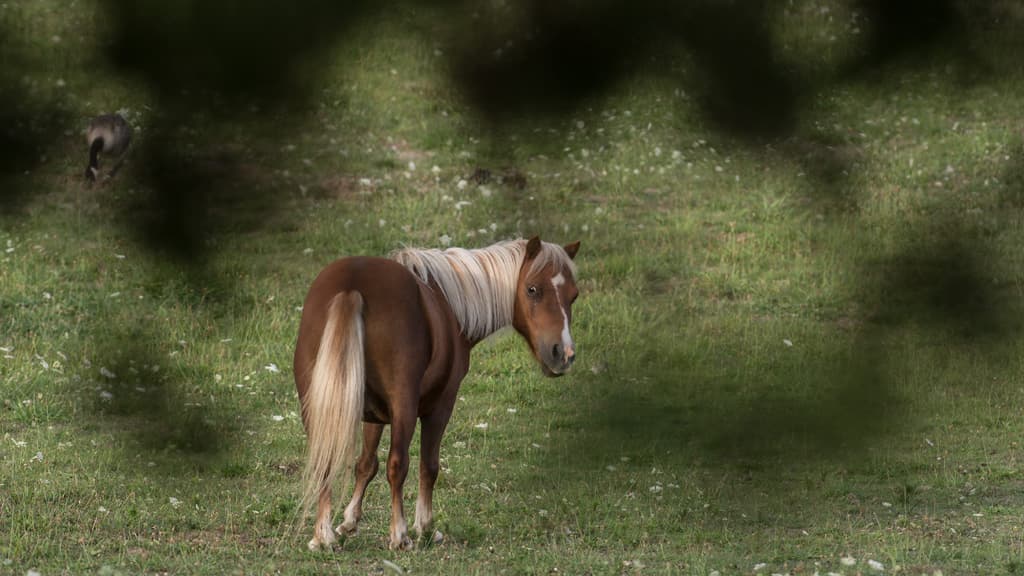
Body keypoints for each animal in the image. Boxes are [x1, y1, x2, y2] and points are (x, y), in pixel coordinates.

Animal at [294, 235, 585, 549]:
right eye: (532, 289)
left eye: (573, 295)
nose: (563, 354)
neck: (449, 304)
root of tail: (353, 286)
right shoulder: (441, 406)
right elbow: (428, 465)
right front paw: (424, 525)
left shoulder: (374, 414)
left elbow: (366, 464)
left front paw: (349, 521)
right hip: (405, 408)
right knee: (398, 464)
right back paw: (399, 535)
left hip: (318, 406)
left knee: (325, 460)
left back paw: (322, 536)